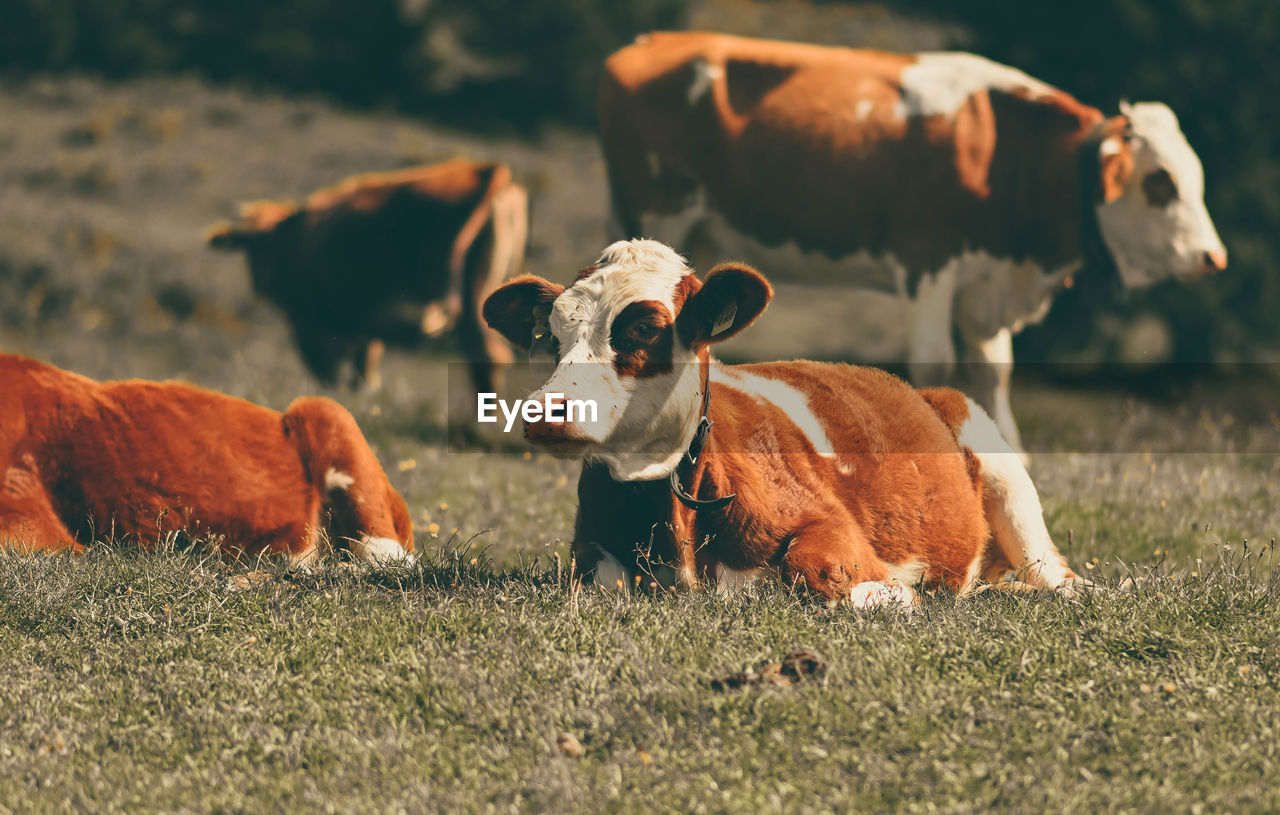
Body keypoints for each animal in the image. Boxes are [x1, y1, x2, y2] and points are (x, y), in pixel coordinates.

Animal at [207, 158, 527, 394]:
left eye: (257, 248)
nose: (262, 284)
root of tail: (488, 171)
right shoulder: (366, 325)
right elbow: (364, 370)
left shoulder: (313, 323)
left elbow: (333, 373)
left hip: (473, 305)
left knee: (488, 359)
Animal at [483, 237, 1085, 606]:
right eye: (548, 336)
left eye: (645, 330)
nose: (546, 411)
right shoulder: (590, 550)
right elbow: (601, 579)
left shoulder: (833, 528)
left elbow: (819, 571)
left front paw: (897, 595)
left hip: (1000, 461)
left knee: (1053, 570)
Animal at [593, 31, 1223, 455]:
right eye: (1160, 182)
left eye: (1196, 174)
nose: (1212, 257)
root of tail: (650, 43)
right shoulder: (928, 262)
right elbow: (934, 363)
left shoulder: (985, 285)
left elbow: (994, 373)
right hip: (660, 212)